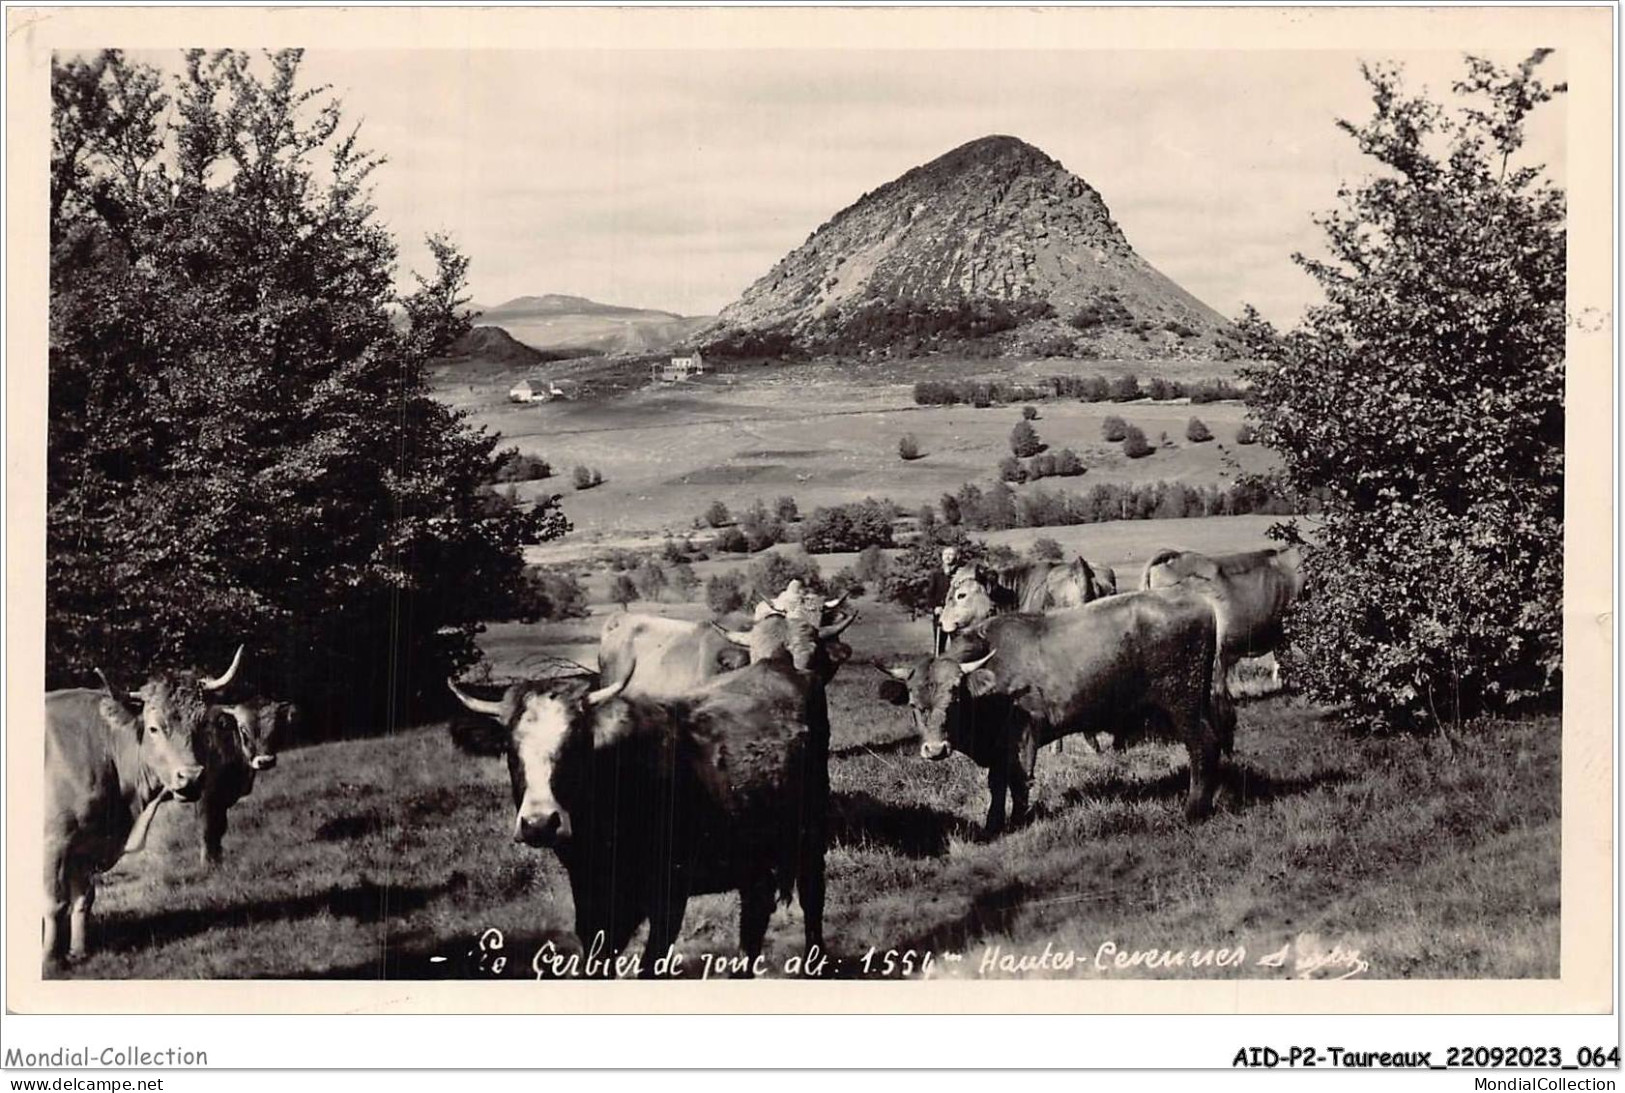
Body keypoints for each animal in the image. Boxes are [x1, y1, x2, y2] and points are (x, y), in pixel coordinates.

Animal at [884, 591, 1222, 831]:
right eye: (914, 706)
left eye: (954, 700)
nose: (935, 749)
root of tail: (1199, 602)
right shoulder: (998, 748)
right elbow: (997, 784)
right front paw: (993, 825)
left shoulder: (1023, 737)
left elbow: (1018, 783)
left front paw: (1018, 822)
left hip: (1183, 704)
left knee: (1202, 746)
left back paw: (1193, 811)